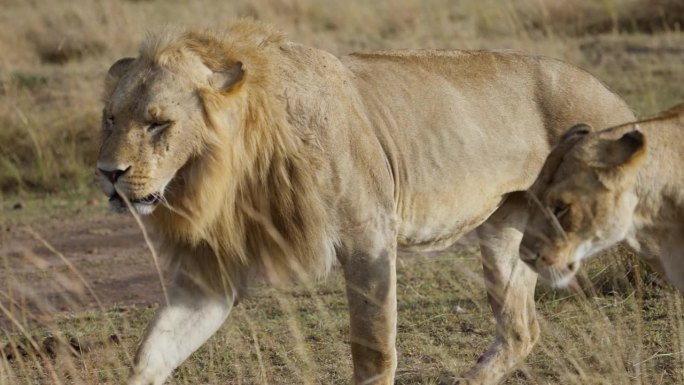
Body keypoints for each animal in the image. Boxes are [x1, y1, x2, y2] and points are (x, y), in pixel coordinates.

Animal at [96, 20, 636, 384]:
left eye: (158, 123)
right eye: (111, 118)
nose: (108, 174)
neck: (232, 174)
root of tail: (611, 95)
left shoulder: (369, 235)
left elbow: (373, 349)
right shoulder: (213, 270)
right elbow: (154, 349)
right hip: (507, 230)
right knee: (520, 330)